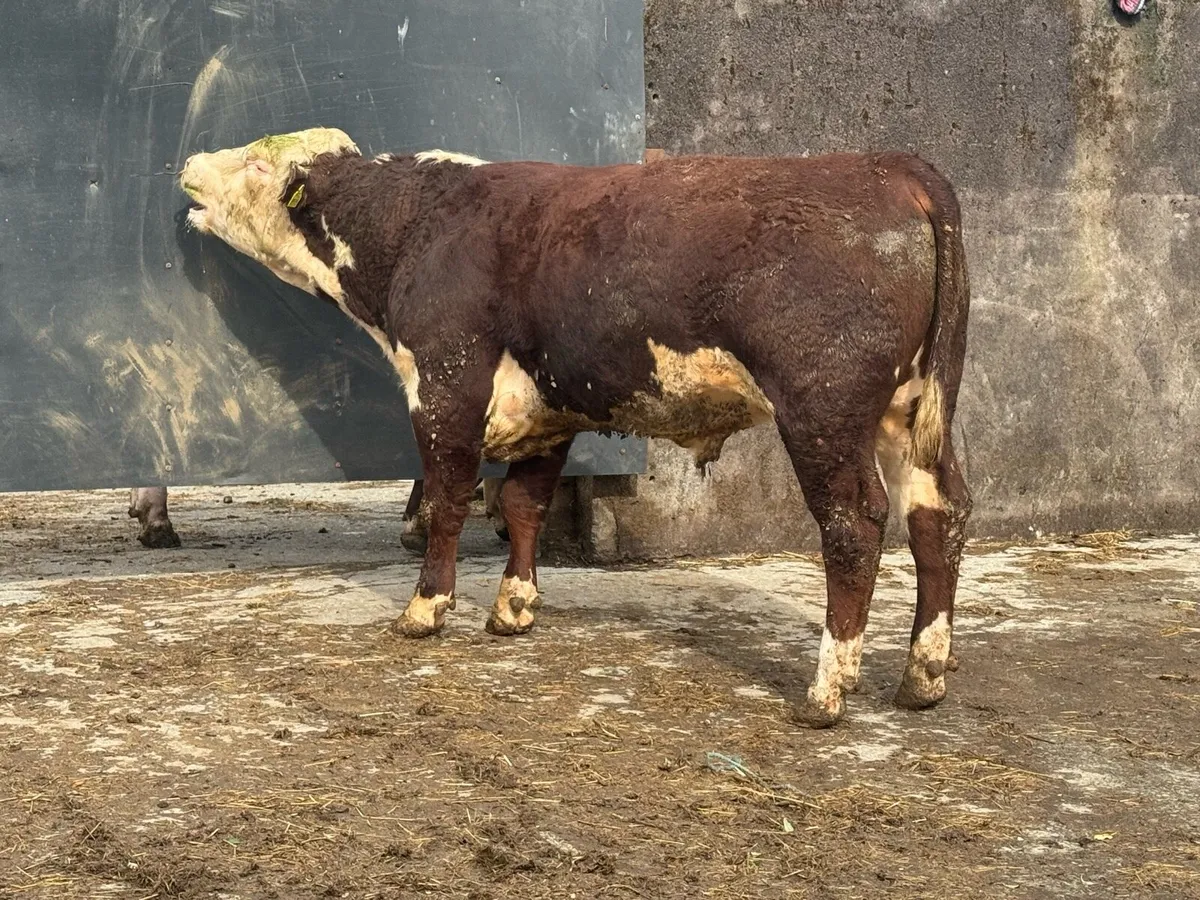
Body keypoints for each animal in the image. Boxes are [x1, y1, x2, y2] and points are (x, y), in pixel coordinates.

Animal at [177, 128, 972, 727]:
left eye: (256, 162)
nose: (188, 164)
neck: (417, 227)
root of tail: (891, 168)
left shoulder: (445, 387)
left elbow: (445, 501)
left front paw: (426, 608)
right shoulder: (547, 409)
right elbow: (524, 503)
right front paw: (513, 607)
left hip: (823, 413)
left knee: (854, 526)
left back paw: (826, 690)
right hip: (913, 415)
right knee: (938, 515)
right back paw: (923, 675)